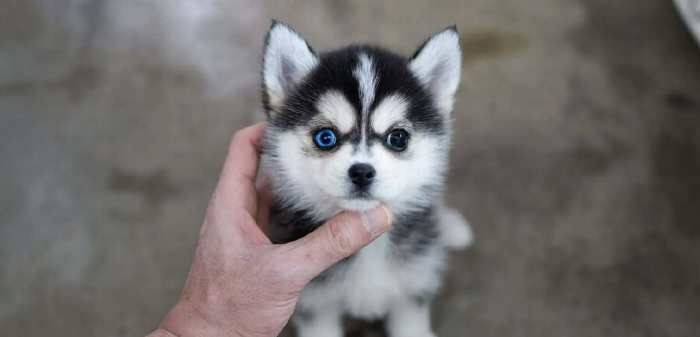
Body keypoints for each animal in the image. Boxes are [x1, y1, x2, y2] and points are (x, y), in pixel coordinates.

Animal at [260, 21, 474, 336]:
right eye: (325, 137)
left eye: (398, 138)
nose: (361, 171)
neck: (369, 248)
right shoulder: (315, 302)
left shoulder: (414, 287)